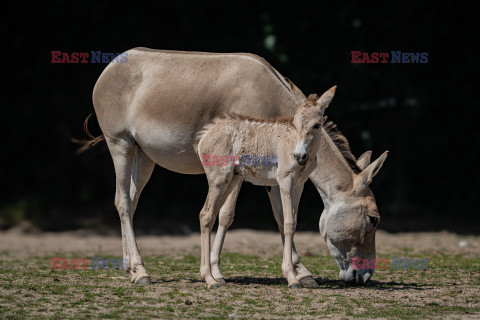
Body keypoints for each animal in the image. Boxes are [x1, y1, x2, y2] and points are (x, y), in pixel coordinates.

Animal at [193, 86, 336, 288]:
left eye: (317, 125)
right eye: (295, 123)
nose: (299, 156)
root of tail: (206, 133)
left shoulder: (299, 186)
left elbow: (292, 221)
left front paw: (297, 274)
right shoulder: (284, 182)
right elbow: (288, 223)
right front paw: (292, 277)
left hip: (230, 180)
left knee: (211, 214)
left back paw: (214, 277)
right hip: (218, 179)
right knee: (205, 215)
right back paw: (209, 279)